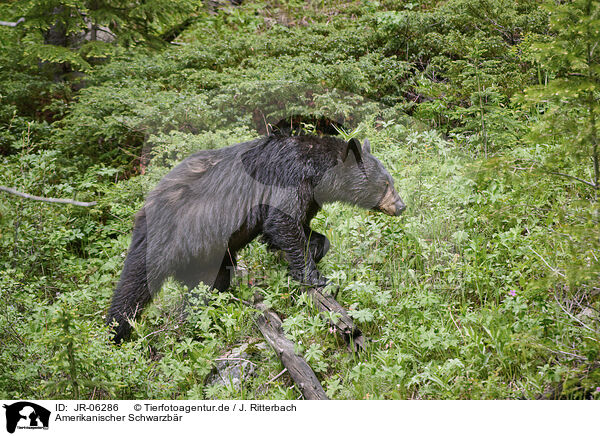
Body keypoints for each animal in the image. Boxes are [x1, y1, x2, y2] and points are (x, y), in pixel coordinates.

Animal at [106, 135, 408, 342]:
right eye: (385, 184)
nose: (401, 206)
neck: (315, 170)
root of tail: (145, 206)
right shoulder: (289, 179)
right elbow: (282, 222)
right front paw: (314, 277)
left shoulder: (309, 197)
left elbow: (297, 227)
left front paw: (312, 250)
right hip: (163, 239)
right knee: (133, 287)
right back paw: (115, 334)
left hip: (206, 258)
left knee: (206, 287)